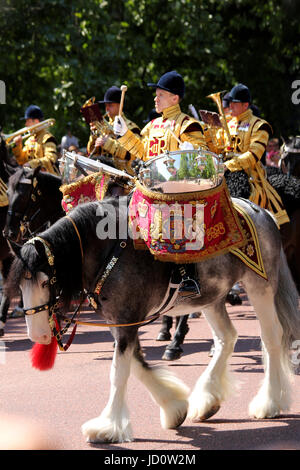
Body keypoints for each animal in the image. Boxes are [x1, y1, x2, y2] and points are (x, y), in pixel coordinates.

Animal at [6, 150, 300, 444]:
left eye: (46, 282)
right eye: (20, 287)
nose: (38, 335)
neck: (107, 246)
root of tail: (262, 212)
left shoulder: (127, 318)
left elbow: (119, 371)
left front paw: (108, 427)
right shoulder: (120, 321)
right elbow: (135, 363)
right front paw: (174, 409)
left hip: (259, 285)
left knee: (271, 337)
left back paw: (269, 402)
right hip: (212, 296)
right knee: (226, 337)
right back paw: (207, 400)